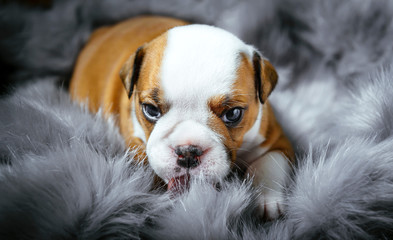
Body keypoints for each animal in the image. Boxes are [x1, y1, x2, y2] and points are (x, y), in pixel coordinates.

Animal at [69, 15, 292, 220]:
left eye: (233, 114)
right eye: (151, 110)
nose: (188, 152)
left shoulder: (277, 142)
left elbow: (269, 164)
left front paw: (267, 200)